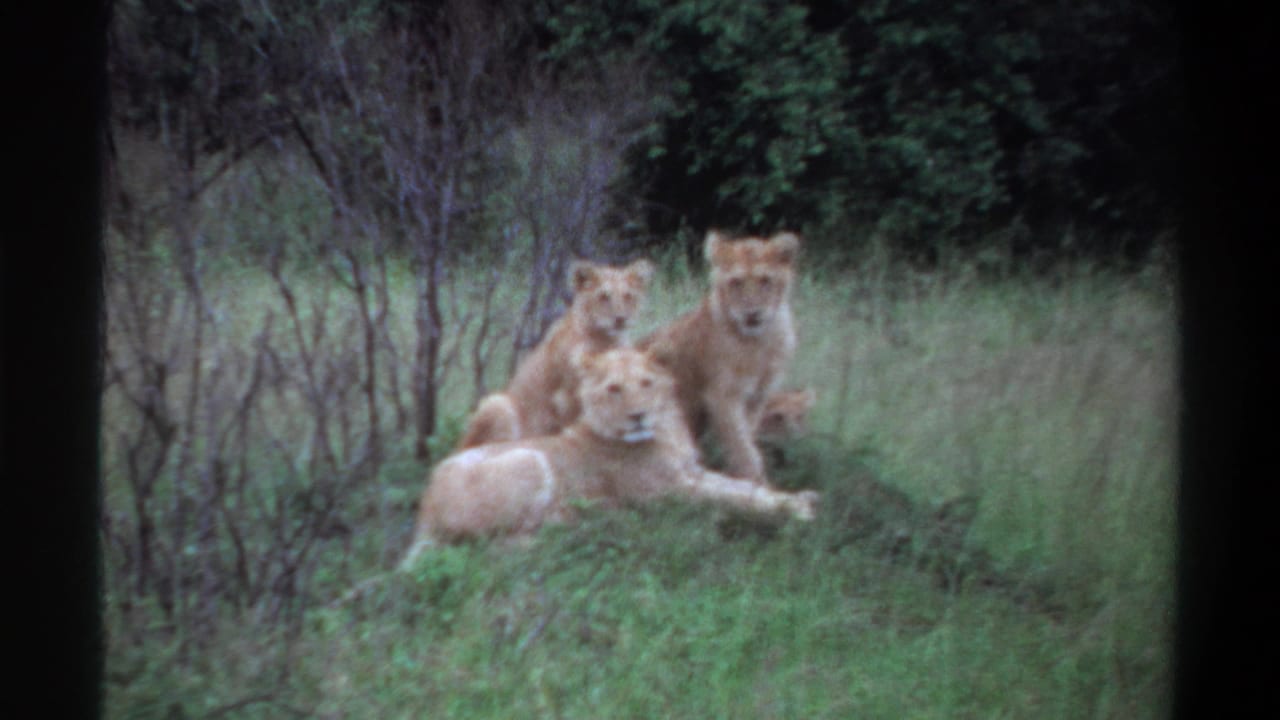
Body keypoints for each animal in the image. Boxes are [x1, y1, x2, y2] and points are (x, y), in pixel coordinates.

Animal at [401, 347, 818, 566]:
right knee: (489, 548)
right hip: (528, 458)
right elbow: (735, 498)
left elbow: (744, 487)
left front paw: (799, 498)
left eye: (646, 384)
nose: (639, 415)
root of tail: (423, 510)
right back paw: (579, 527)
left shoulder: (692, 473)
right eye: (614, 389)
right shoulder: (672, 492)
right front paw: (797, 511)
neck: (666, 432)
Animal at [457, 258, 654, 449]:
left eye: (628, 296)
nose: (620, 319)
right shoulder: (566, 397)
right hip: (497, 404)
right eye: (604, 297)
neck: (606, 338)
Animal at [638, 230, 800, 483]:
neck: (759, 341)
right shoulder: (722, 396)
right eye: (736, 283)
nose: (752, 314)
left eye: (765, 281)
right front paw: (756, 483)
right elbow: (744, 449)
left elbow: (746, 440)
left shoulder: (757, 397)